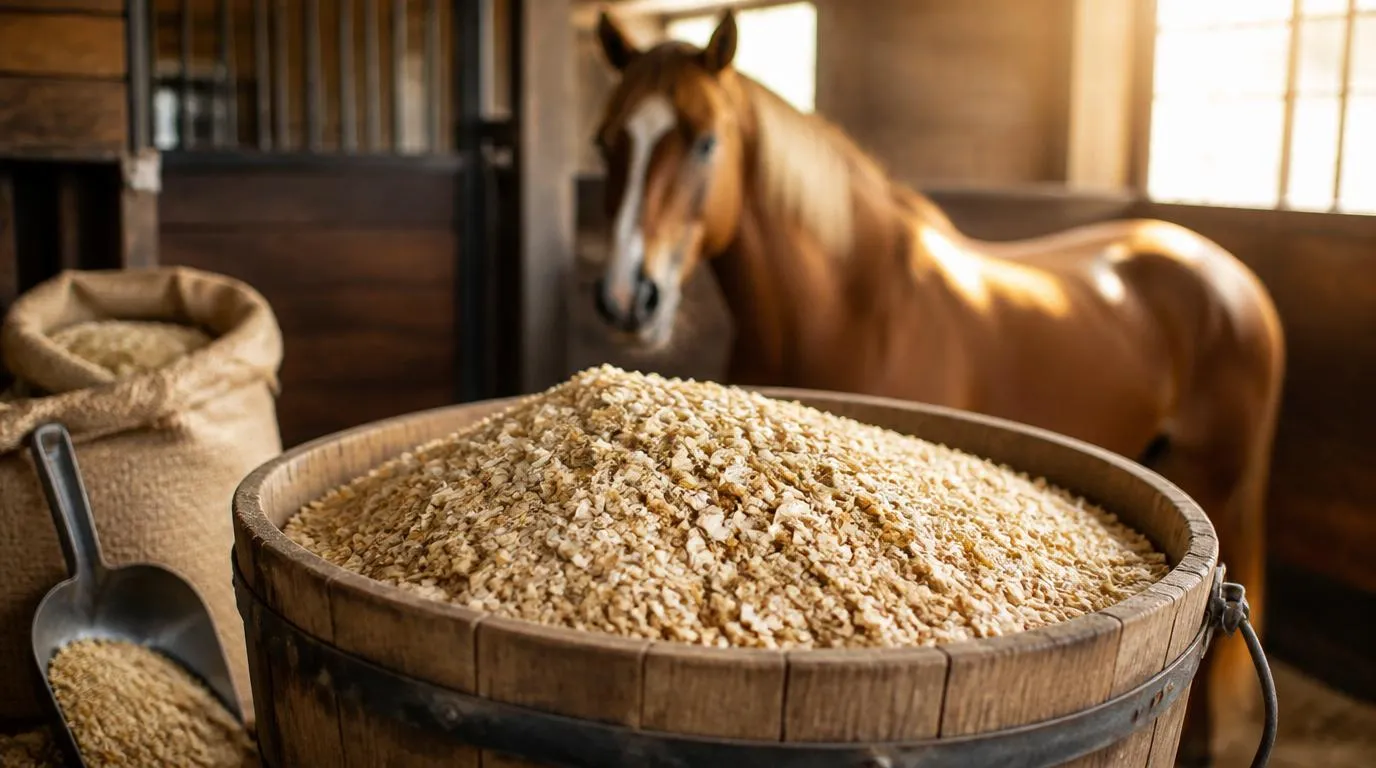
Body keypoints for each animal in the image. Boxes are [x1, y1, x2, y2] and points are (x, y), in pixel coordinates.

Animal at [589, 10, 1284, 764]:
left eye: (706, 141)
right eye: (605, 141)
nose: (627, 300)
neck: (852, 307)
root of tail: (1219, 265)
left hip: (1219, 476)